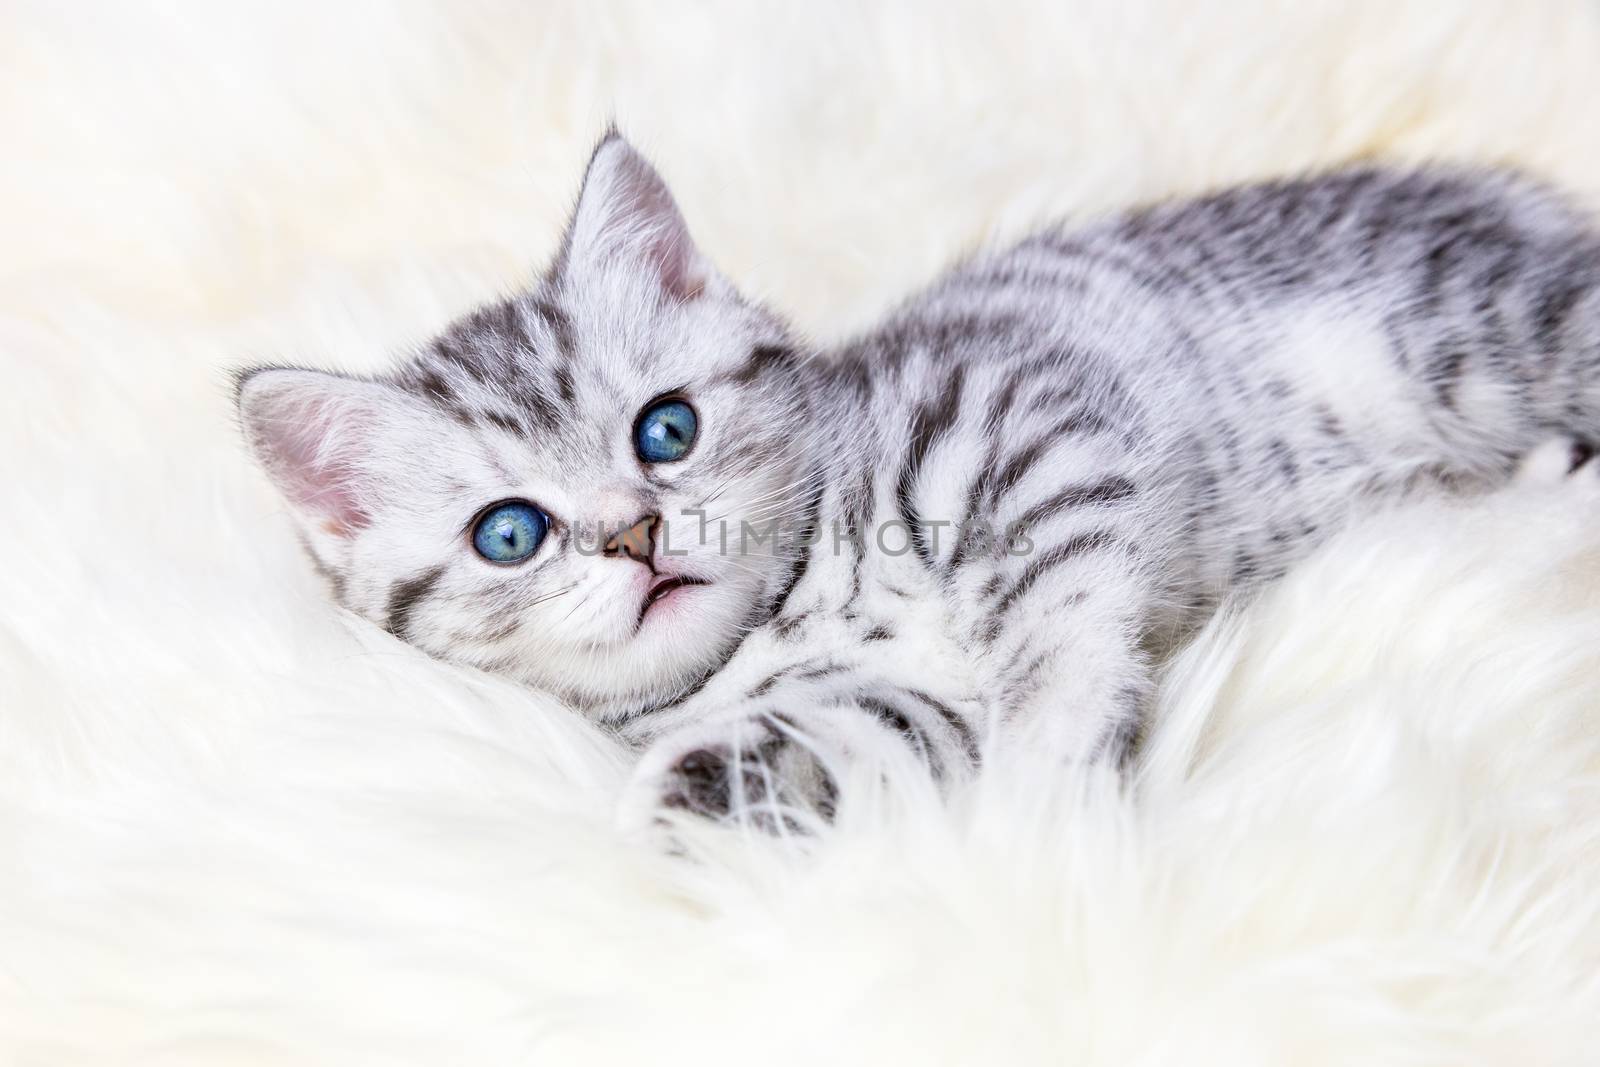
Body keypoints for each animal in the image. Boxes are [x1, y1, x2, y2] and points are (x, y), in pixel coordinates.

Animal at [236, 127, 1600, 825]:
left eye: (665, 431)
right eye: (510, 534)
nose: (633, 534)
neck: (788, 614)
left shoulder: (1015, 415)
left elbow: (1055, 620)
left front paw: (1053, 768)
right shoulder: (899, 696)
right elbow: (876, 727)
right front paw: (704, 792)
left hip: (1478, 328)